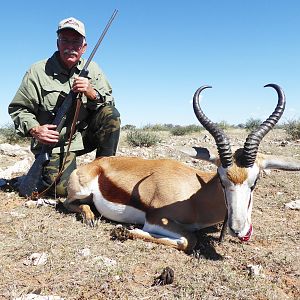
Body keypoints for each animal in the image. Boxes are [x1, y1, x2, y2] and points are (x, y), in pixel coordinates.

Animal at [63, 83, 300, 252]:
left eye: (255, 181)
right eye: (221, 179)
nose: (238, 229)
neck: (196, 196)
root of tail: (96, 164)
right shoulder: (155, 220)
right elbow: (189, 240)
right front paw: (124, 230)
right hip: (79, 192)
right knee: (67, 203)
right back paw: (91, 217)